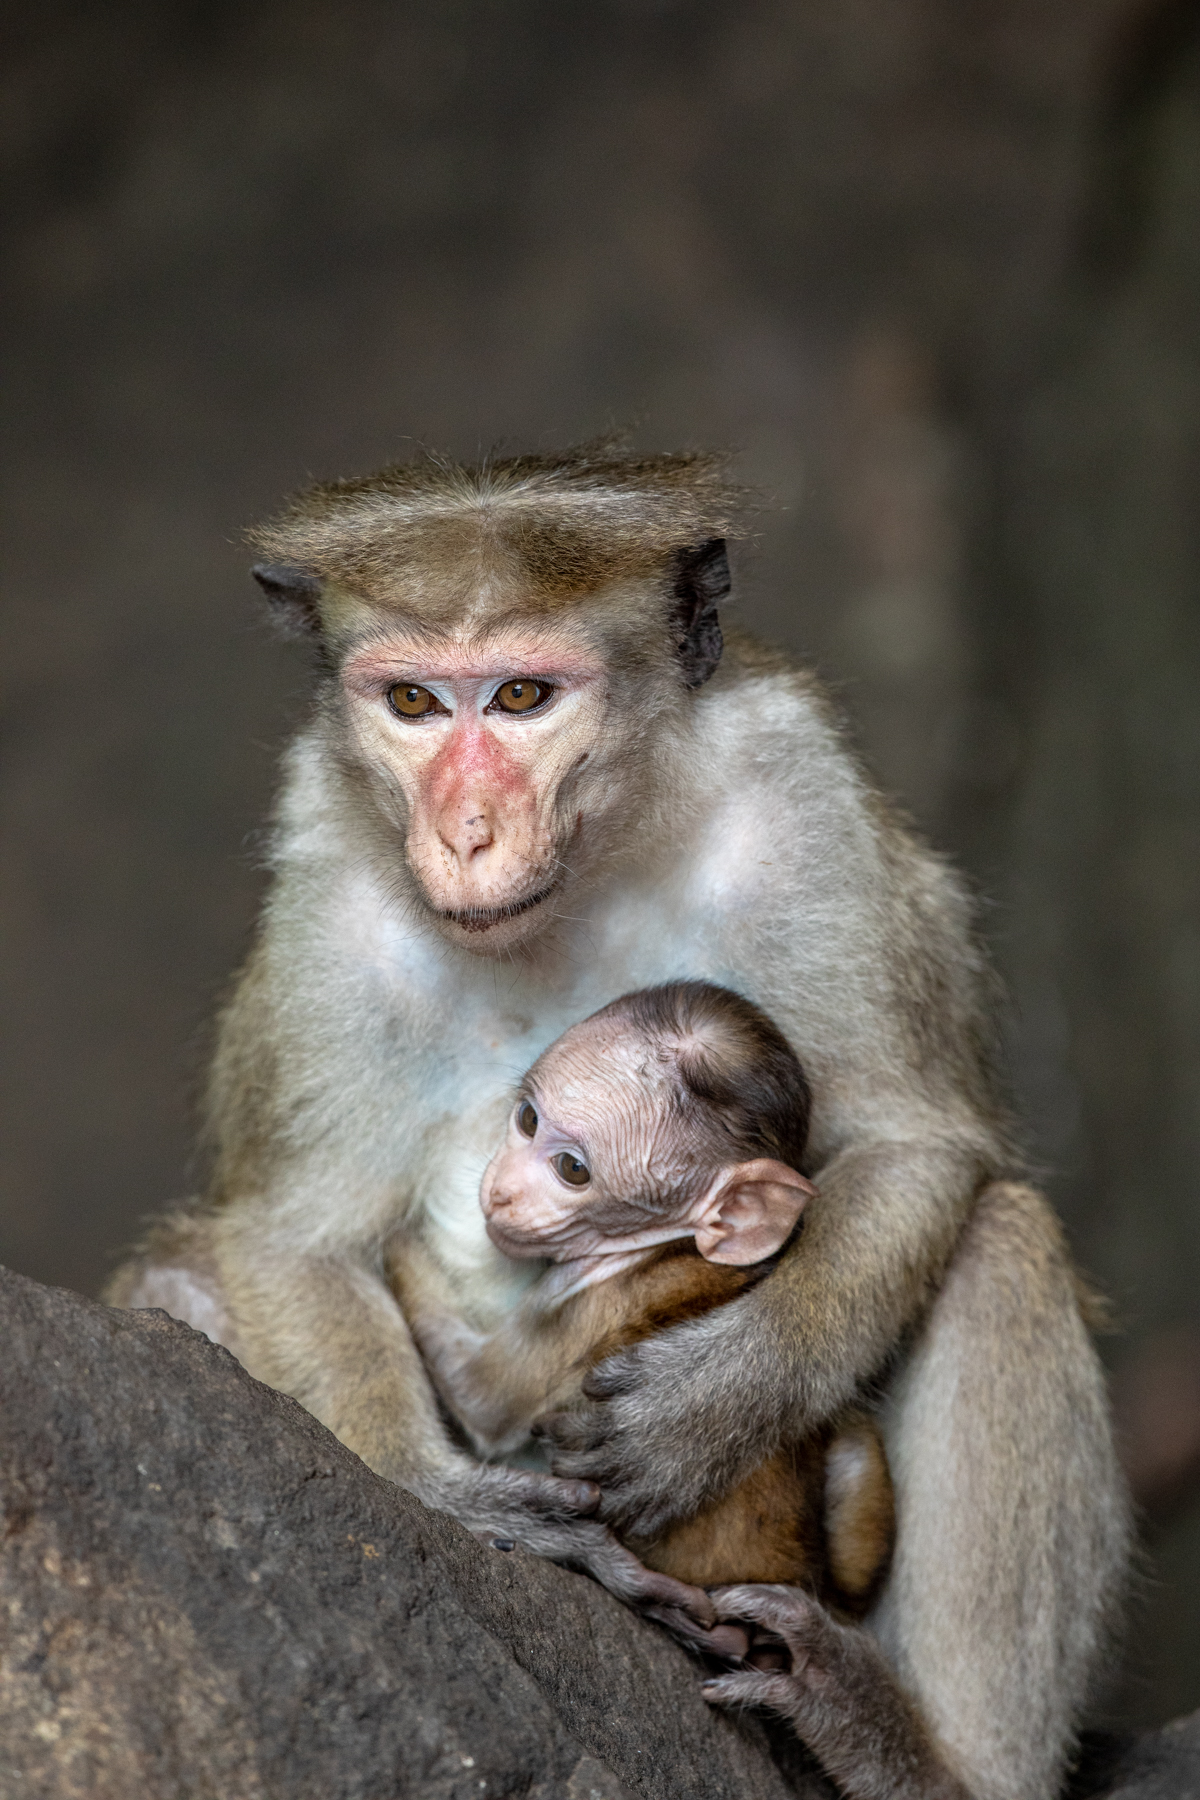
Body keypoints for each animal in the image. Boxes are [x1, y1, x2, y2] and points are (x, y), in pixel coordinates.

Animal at [392, 986, 892, 1620]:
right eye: (528, 1119)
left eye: (572, 1169)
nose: (501, 1191)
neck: (661, 1244)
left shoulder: (580, 1302)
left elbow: (481, 1398)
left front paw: (397, 1244)